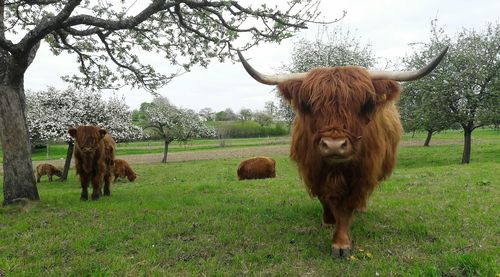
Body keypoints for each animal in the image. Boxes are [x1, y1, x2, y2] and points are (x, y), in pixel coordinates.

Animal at [238, 47, 450, 256]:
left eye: (364, 105)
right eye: (310, 105)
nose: (334, 145)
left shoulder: (361, 174)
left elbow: (347, 207)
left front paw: (341, 243)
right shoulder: (313, 171)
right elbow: (324, 198)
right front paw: (328, 220)